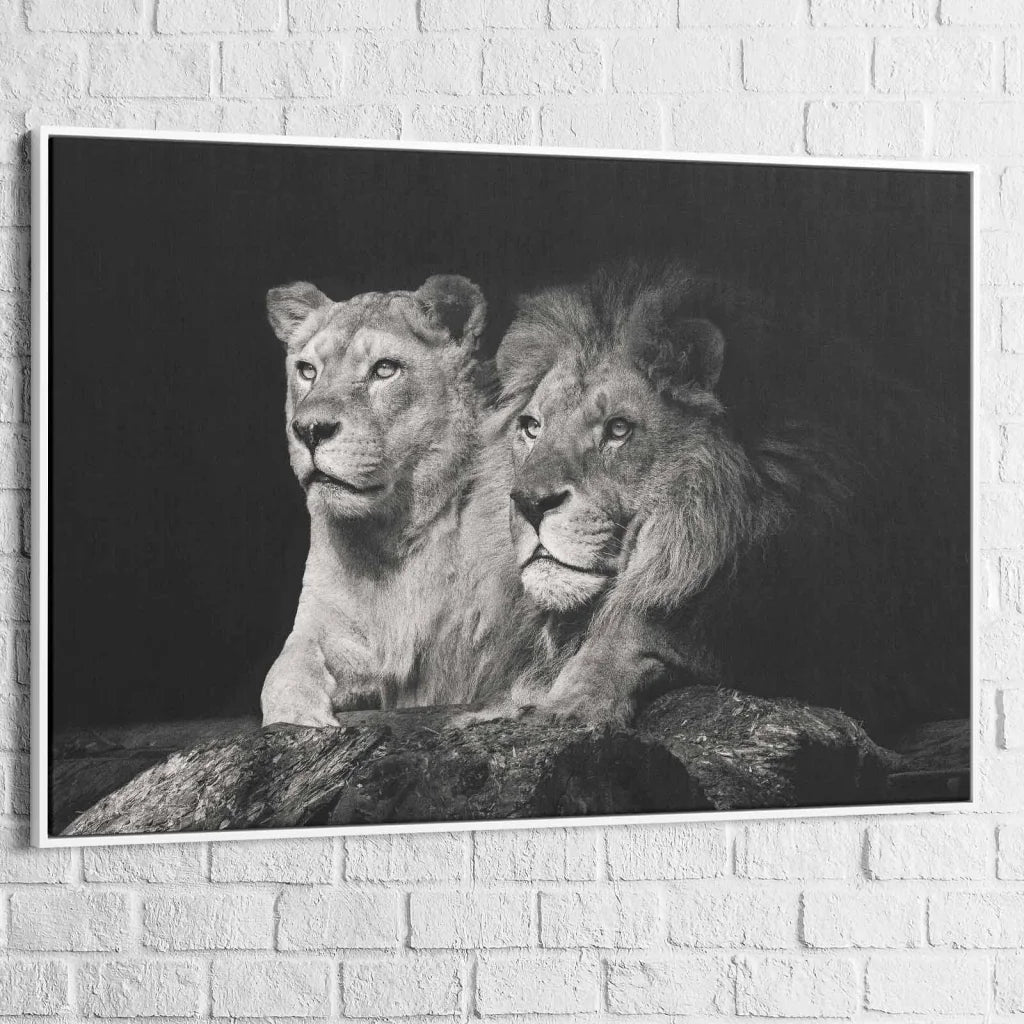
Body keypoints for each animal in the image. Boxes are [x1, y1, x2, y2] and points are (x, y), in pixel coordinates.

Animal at [260, 274, 539, 727]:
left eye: (385, 369)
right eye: (307, 371)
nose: (309, 430)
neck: (392, 537)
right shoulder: (326, 626)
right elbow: (283, 671)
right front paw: (301, 719)